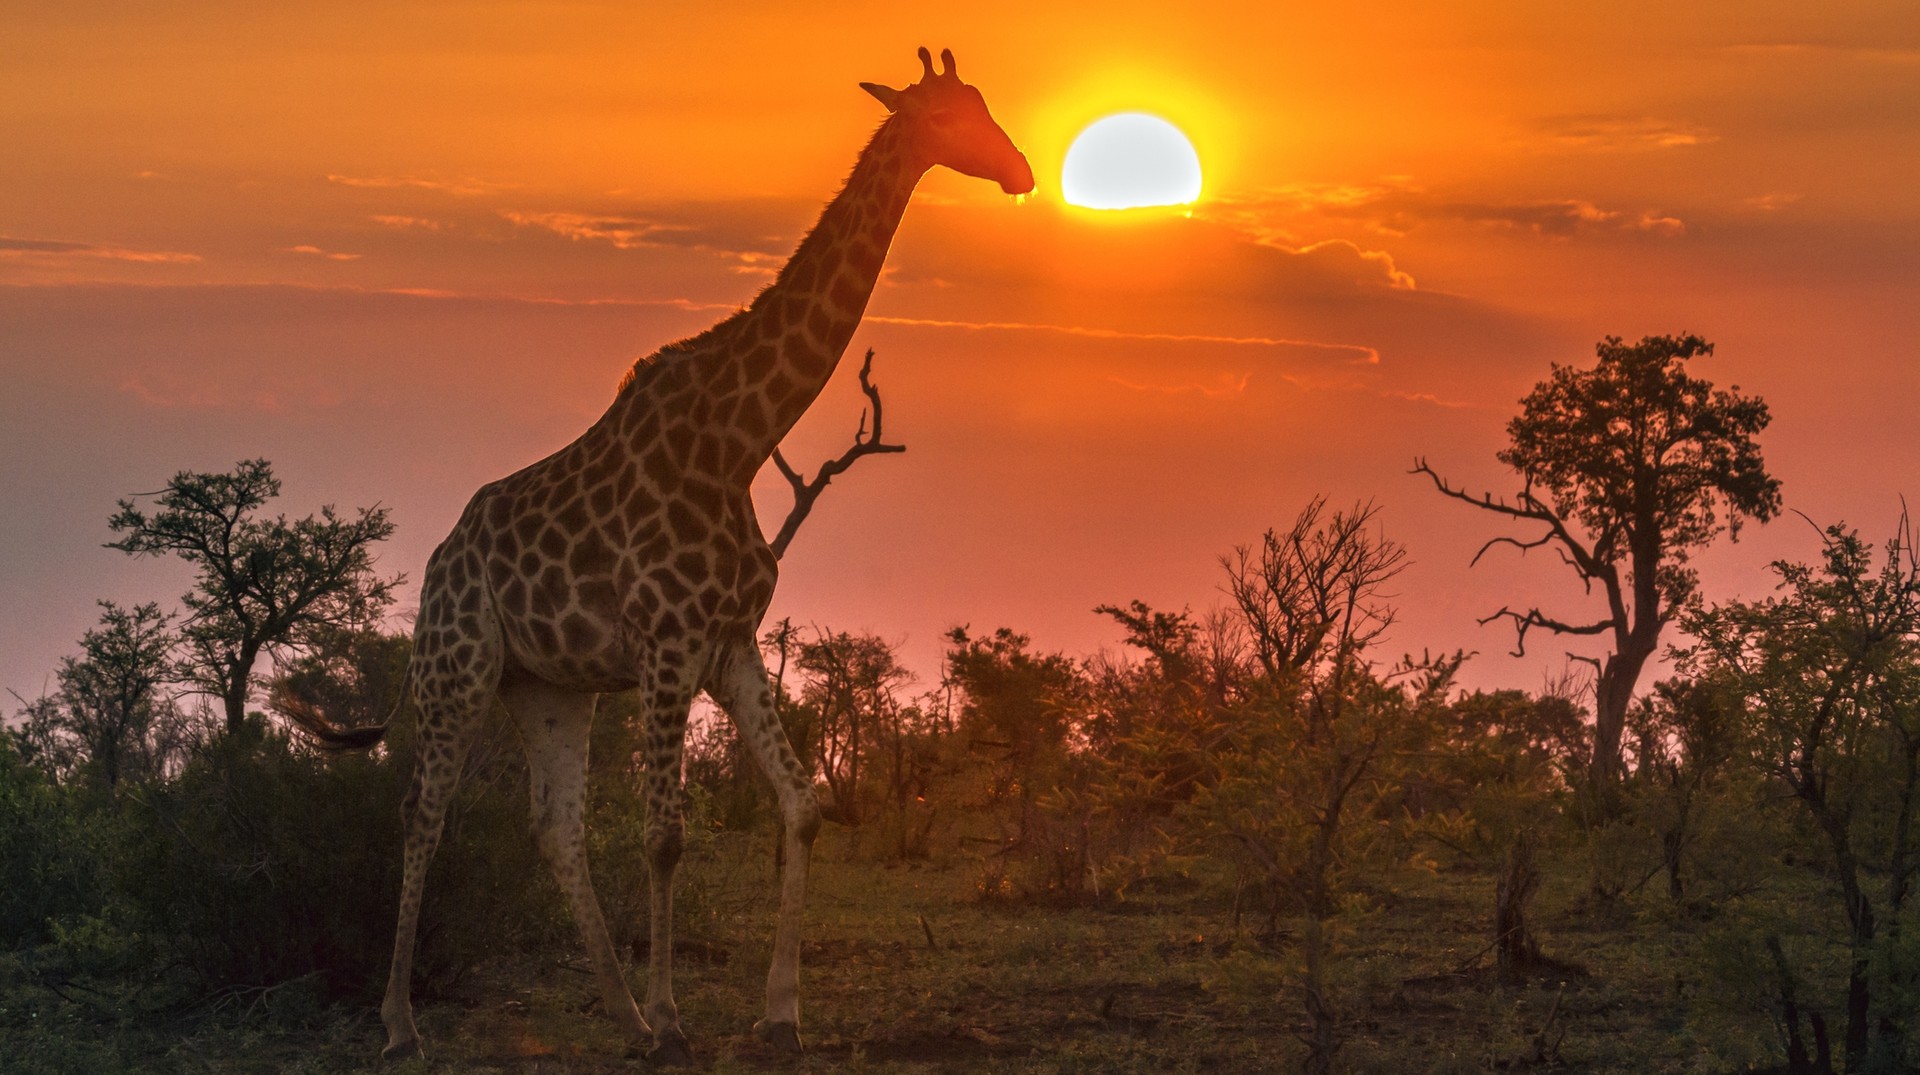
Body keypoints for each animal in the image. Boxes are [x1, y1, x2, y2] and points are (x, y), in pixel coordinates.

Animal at [306, 47, 1033, 1063]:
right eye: (949, 116)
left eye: (983, 103)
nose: (1023, 170)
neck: (738, 435)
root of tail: (439, 563)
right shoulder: (666, 642)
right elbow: (664, 836)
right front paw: (683, 1019)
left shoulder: (727, 642)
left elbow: (803, 804)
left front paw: (778, 1015)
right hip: (460, 665)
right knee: (423, 811)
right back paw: (405, 1024)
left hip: (548, 684)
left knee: (554, 826)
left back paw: (623, 1013)